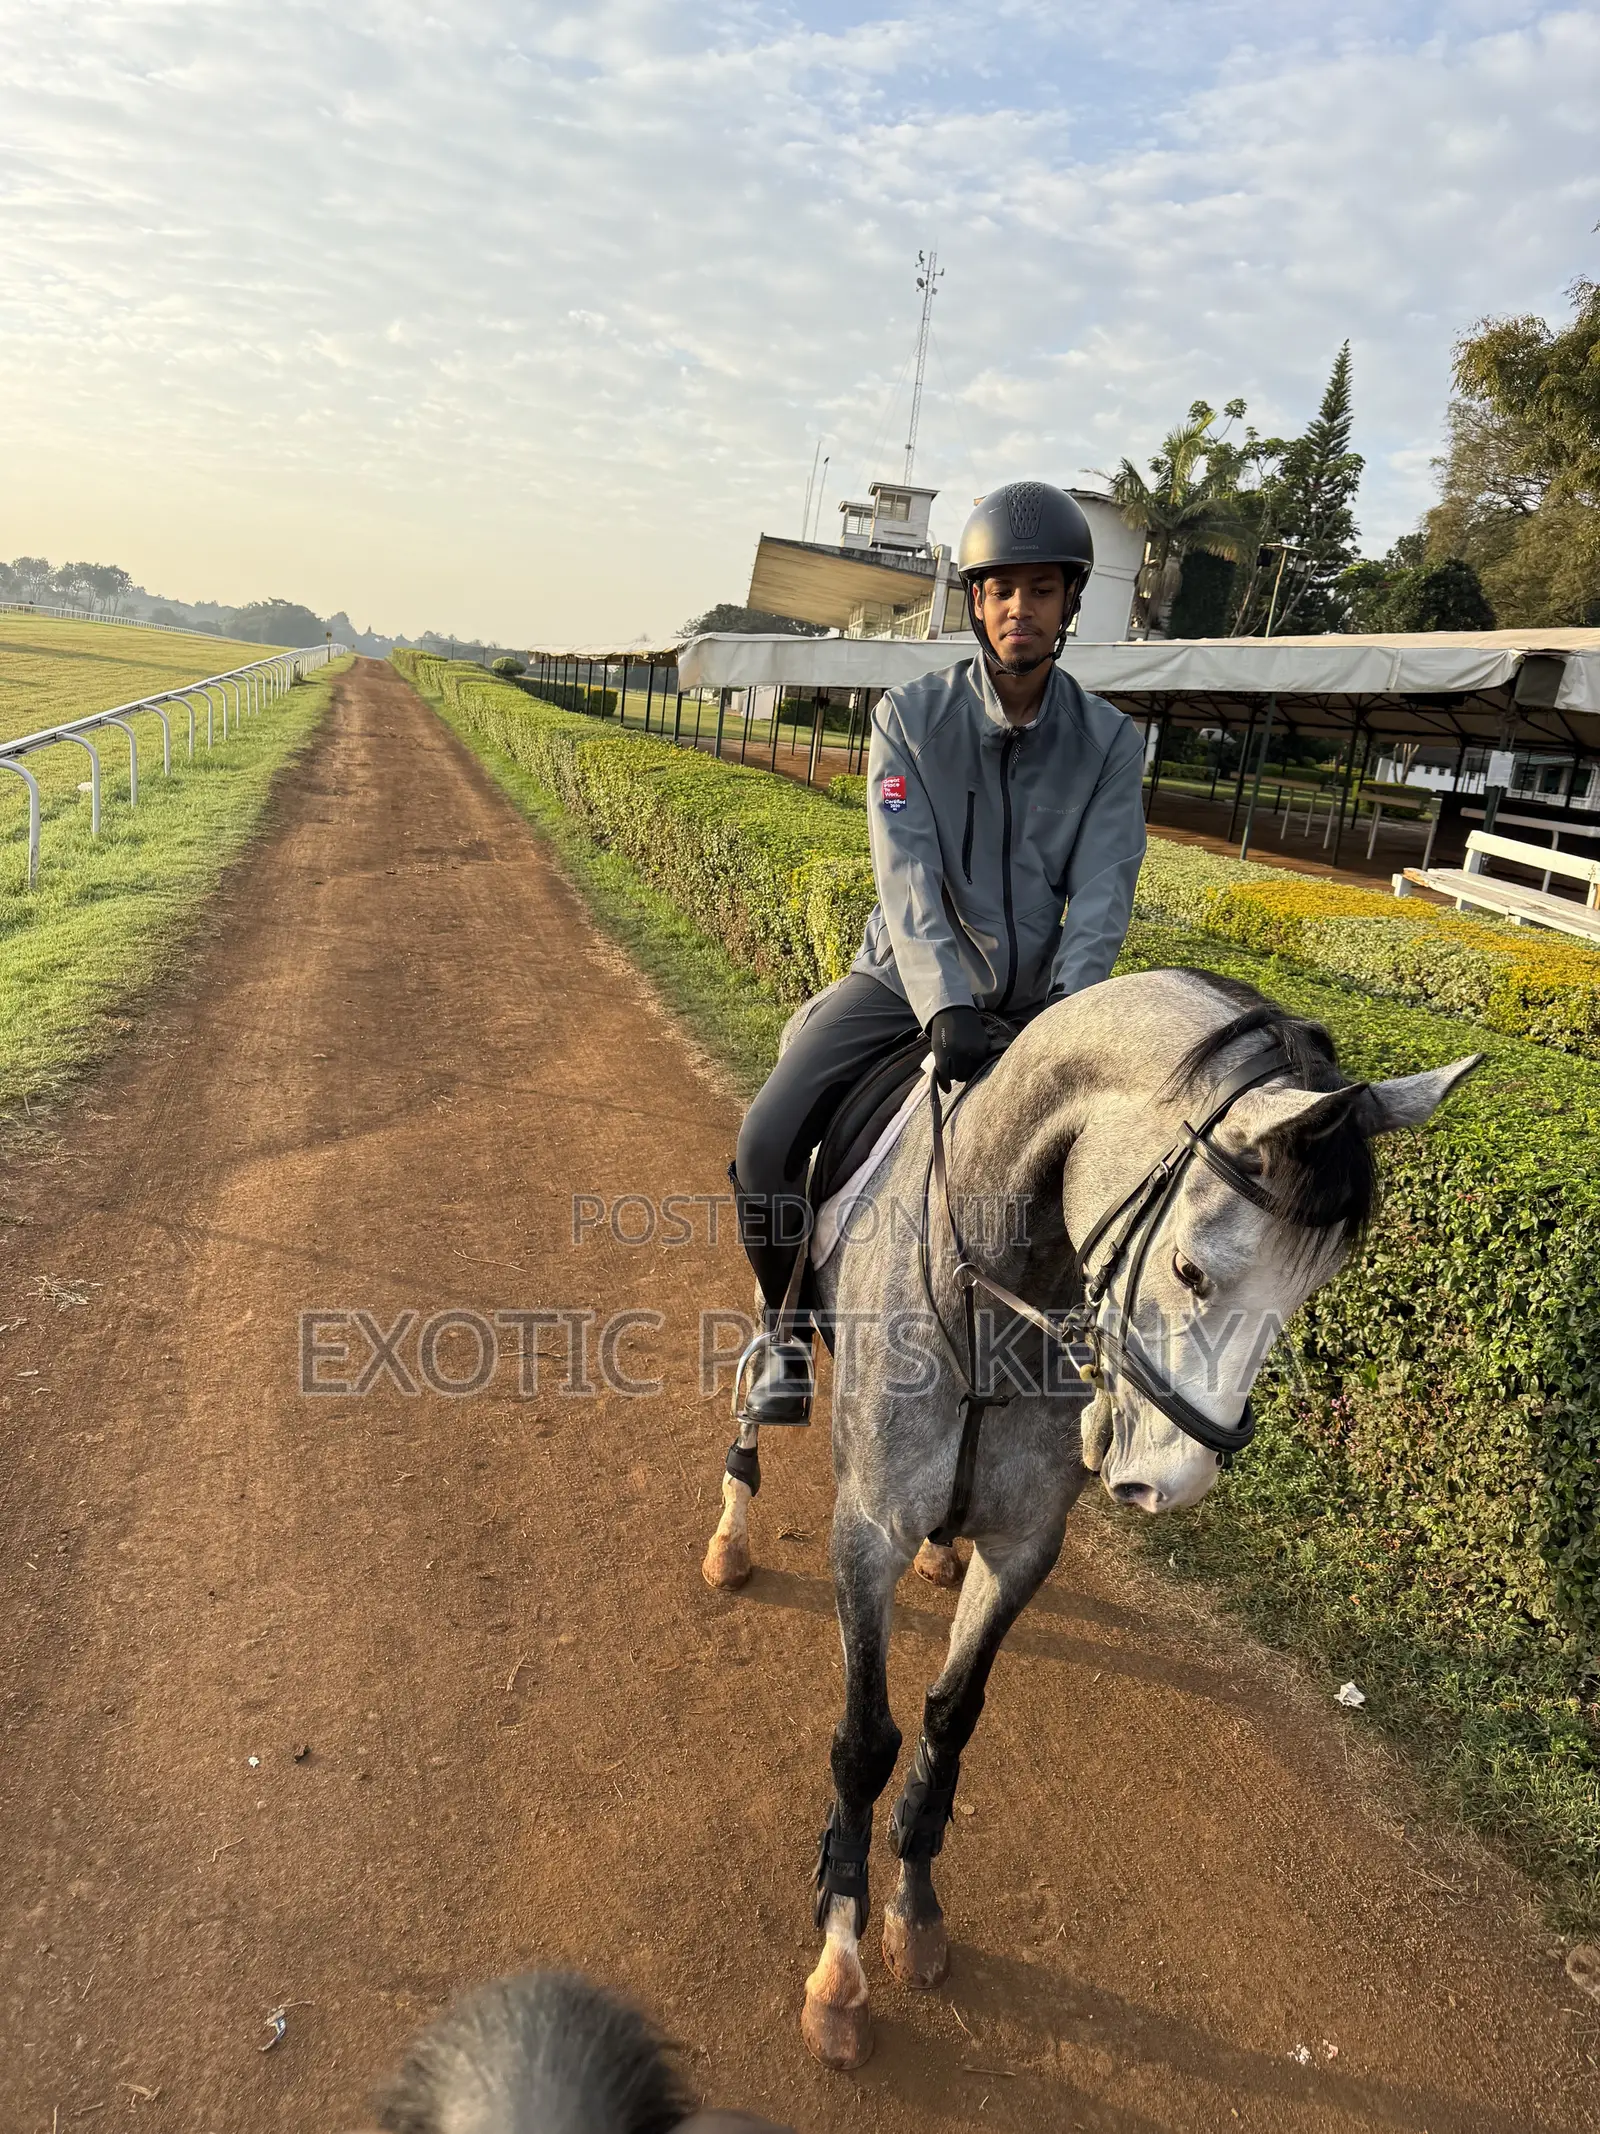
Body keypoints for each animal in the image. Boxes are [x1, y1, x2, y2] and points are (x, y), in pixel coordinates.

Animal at [701, 966, 1479, 2070]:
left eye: (1312, 1291)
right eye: (1192, 1270)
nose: (1170, 1483)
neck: (996, 1289)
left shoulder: (1028, 1545)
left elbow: (949, 1717)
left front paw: (915, 1911)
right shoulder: (867, 1531)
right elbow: (864, 1740)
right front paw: (840, 1968)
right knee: (753, 1376)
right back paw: (732, 1525)